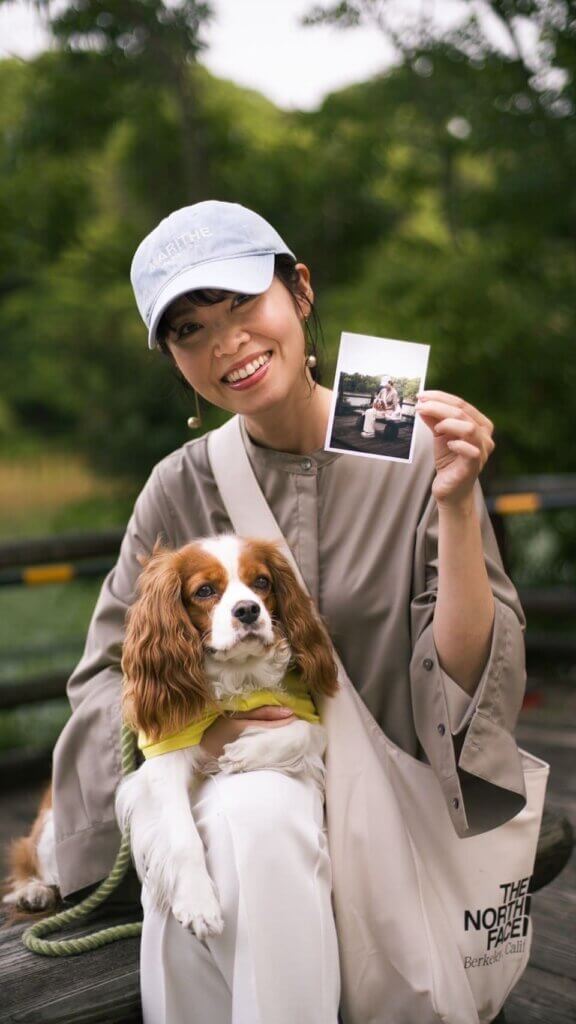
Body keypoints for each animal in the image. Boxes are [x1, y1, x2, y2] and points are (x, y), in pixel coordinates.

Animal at [1, 540, 336, 937]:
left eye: (262, 582)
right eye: (204, 591)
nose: (248, 610)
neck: (238, 676)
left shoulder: (303, 711)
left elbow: (305, 731)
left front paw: (245, 752)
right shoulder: (162, 757)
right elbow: (181, 836)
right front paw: (198, 903)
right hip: (50, 831)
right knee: (28, 857)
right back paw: (33, 891)